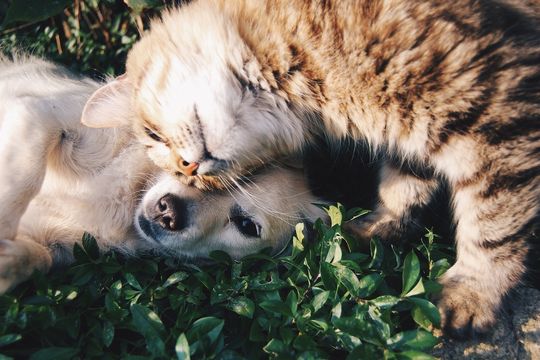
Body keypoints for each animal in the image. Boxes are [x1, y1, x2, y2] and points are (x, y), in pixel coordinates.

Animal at [0, 55, 324, 292]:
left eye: (246, 226)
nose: (169, 211)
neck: (128, 194)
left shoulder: (59, 246)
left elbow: (36, 259)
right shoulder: (40, 112)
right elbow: (24, 174)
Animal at [81, 0, 540, 338]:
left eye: (153, 135)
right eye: (183, 173)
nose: (190, 167)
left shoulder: (496, 119)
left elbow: (493, 228)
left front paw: (472, 294)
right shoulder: (414, 137)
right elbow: (402, 188)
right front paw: (376, 228)